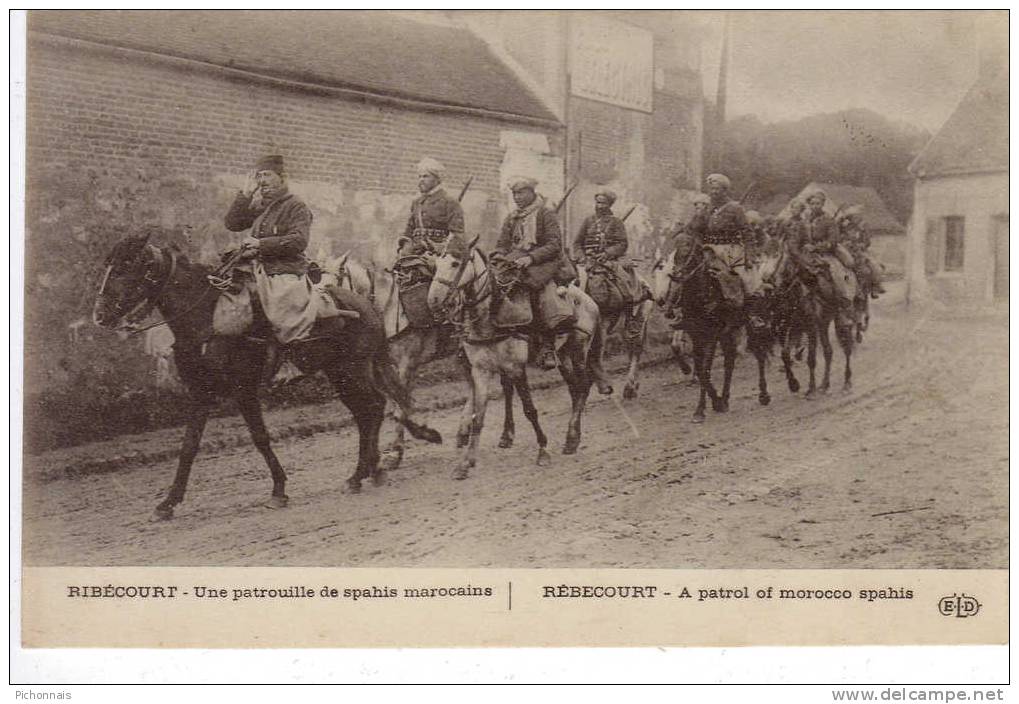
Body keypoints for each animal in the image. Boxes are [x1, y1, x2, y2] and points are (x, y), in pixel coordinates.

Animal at [95, 232, 442, 517]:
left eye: (126, 266)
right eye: (110, 265)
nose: (99, 314)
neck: (207, 319)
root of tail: (367, 305)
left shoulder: (244, 390)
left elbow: (260, 438)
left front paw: (278, 490)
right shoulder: (201, 394)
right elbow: (189, 446)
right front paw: (168, 502)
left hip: (352, 370)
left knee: (373, 408)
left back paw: (366, 472)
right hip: (339, 375)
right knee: (367, 412)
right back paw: (366, 472)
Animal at [427, 234, 603, 482]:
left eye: (455, 263)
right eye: (435, 264)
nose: (433, 300)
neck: (493, 314)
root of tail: (587, 299)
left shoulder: (517, 368)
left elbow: (529, 410)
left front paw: (543, 451)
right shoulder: (481, 370)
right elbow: (478, 416)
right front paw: (465, 463)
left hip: (579, 349)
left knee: (584, 386)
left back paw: (570, 438)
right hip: (563, 356)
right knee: (575, 389)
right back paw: (573, 437)